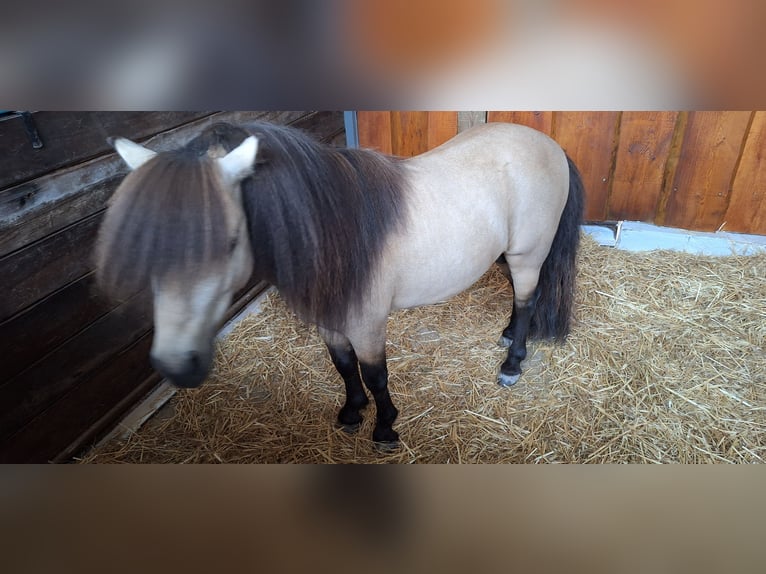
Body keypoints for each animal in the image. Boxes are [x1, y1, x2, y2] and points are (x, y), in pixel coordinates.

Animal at [97, 119, 588, 448]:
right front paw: (352, 412)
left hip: (528, 256)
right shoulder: (330, 319)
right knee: (520, 301)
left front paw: (385, 426)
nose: (176, 365)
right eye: (149, 245)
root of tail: (551, 145)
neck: (334, 229)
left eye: (229, 239)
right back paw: (506, 334)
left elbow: (375, 374)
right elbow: (343, 366)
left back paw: (512, 363)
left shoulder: (368, 322)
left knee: (528, 300)